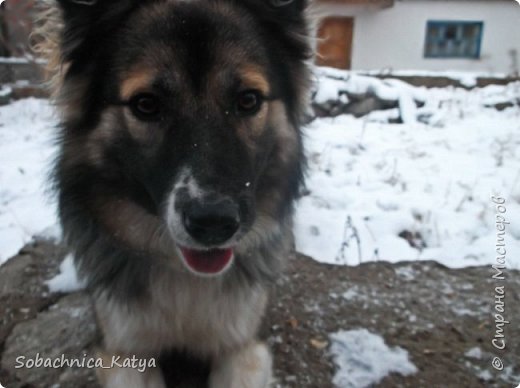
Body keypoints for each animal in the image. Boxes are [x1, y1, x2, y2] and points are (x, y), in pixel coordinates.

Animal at [36, 0, 310, 384]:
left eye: (249, 100)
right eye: (146, 104)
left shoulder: (246, 346)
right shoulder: (121, 351)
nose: (213, 223)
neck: (185, 276)